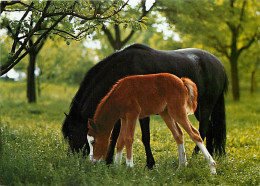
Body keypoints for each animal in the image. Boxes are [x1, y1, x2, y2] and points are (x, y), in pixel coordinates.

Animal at [88, 73, 216, 174]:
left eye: (94, 142)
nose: (92, 162)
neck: (119, 94)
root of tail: (181, 81)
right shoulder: (124, 118)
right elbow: (120, 141)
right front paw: (116, 168)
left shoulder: (132, 115)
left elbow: (129, 139)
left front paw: (129, 167)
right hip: (166, 113)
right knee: (178, 134)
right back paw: (181, 167)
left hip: (178, 111)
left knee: (194, 133)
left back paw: (212, 168)